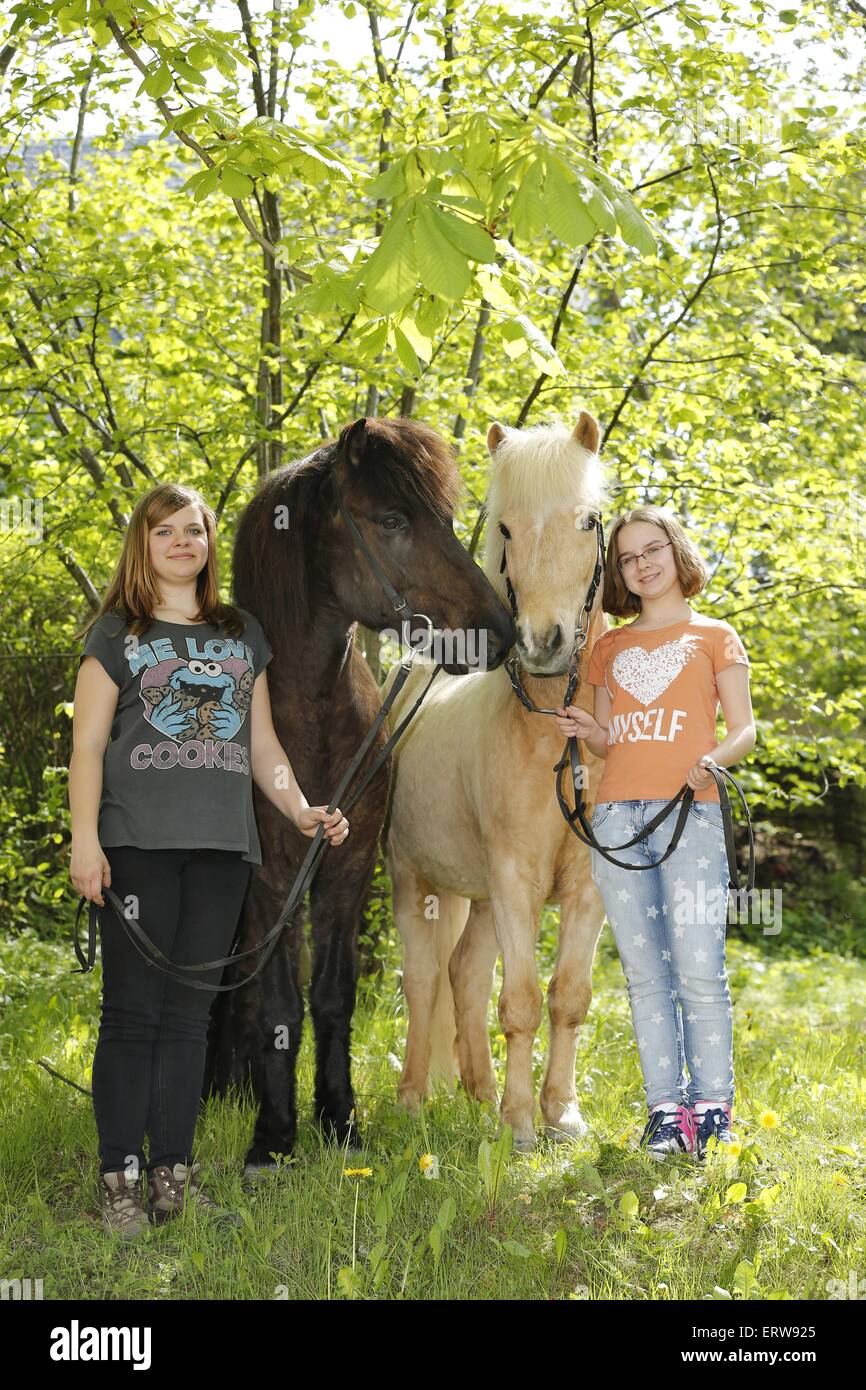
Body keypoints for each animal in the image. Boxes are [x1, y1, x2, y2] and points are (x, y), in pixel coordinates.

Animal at [202, 414, 514, 1173]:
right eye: (393, 518)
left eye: (445, 517)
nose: (499, 632)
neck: (308, 721)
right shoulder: (273, 880)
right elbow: (281, 1004)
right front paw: (274, 1135)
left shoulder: (347, 866)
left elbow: (332, 997)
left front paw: (339, 1121)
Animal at [383, 411, 614, 1150]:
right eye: (506, 529)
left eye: (588, 521)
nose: (543, 642)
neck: (551, 736)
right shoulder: (514, 881)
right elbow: (520, 1003)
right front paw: (519, 1124)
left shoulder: (585, 889)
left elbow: (567, 998)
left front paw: (561, 1113)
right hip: (416, 882)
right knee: (425, 978)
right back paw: (415, 1097)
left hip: (476, 896)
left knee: (464, 973)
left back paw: (478, 1092)